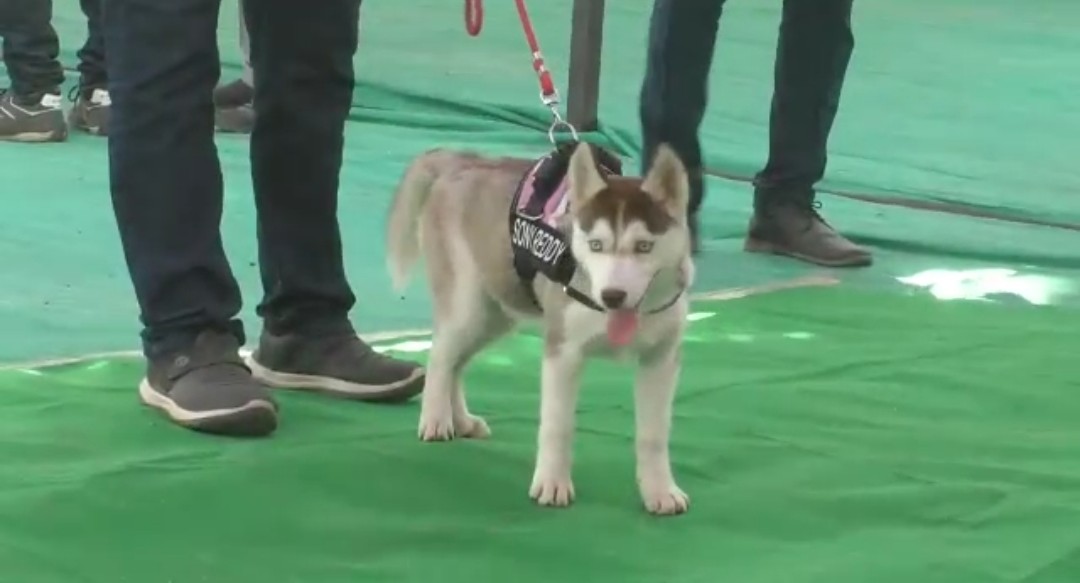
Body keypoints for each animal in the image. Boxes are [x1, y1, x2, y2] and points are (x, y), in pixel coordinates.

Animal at [384, 141, 695, 513]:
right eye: (596, 245)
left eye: (644, 246)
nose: (612, 296)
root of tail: (464, 161)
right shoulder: (563, 352)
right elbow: (557, 425)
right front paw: (552, 483)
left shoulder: (660, 361)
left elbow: (654, 434)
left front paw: (659, 491)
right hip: (466, 308)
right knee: (441, 357)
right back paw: (435, 419)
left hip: (495, 312)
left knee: (456, 362)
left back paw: (462, 420)